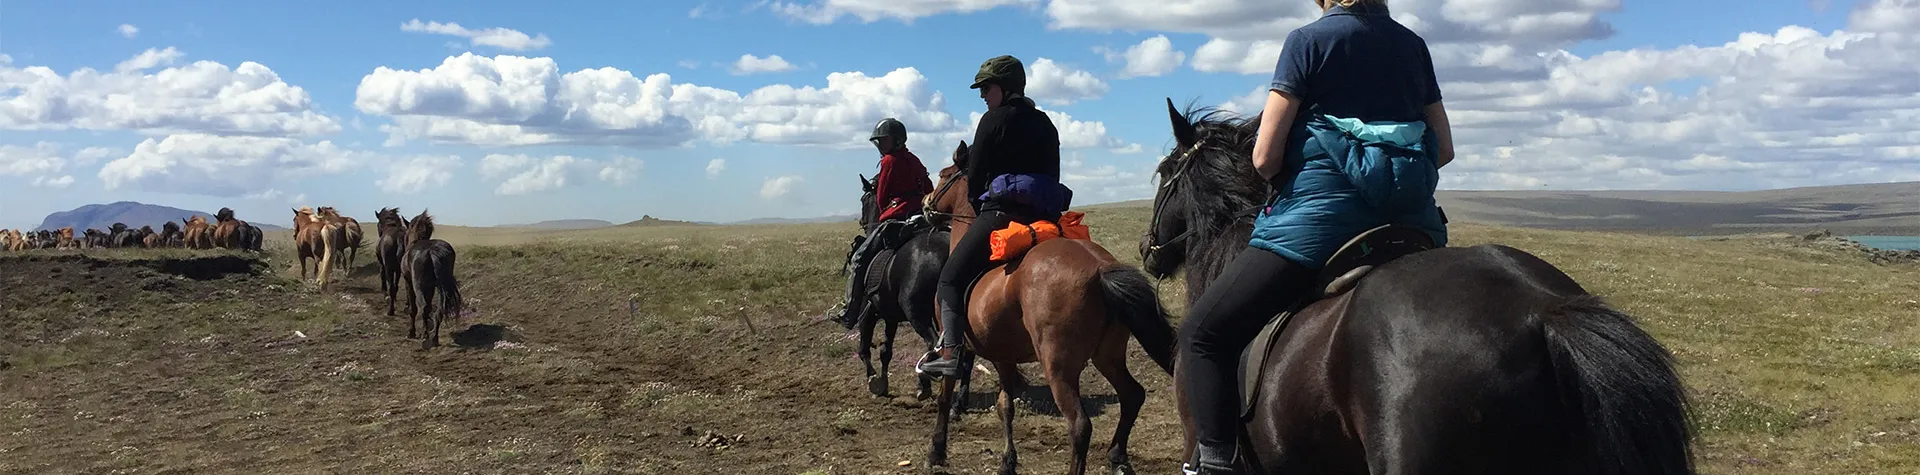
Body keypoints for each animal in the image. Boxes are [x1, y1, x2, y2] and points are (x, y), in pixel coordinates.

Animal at [403, 209, 462, 350]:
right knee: (439, 310)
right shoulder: (430, 286)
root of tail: (432, 252)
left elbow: (413, 309)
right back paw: (434, 338)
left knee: (423, 307)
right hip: (441, 287)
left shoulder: (408, 282)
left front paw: (411, 332)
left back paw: (425, 337)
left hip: (418, 286)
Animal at [921, 141, 1175, 475]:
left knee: (1080, 425)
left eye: (942, 175)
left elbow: (945, 396)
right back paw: (1117, 457)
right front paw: (1007, 462)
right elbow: (1005, 406)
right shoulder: (1003, 355)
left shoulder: (956, 348)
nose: (925, 204)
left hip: (1058, 365)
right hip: (1107, 355)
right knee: (1132, 396)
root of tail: (1099, 268)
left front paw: (936, 451)